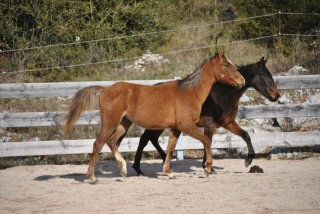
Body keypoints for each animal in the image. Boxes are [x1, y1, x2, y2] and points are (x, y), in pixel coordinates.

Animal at [63, 49, 245, 183]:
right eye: (226, 65)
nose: (242, 80)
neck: (190, 92)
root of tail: (105, 89)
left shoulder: (176, 128)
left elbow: (171, 149)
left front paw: (169, 173)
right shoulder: (187, 125)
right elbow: (206, 141)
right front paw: (207, 169)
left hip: (124, 123)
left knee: (111, 141)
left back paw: (123, 169)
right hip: (110, 122)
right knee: (98, 144)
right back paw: (93, 177)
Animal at [117, 56, 280, 176]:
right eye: (264, 75)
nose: (276, 96)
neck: (222, 96)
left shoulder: (228, 123)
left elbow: (246, 135)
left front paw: (249, 160)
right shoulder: (210, 124)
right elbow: (208, 142)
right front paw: (208, 167)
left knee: (150, 139)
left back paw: (155, 164)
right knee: (145, 139)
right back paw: (141, 168)